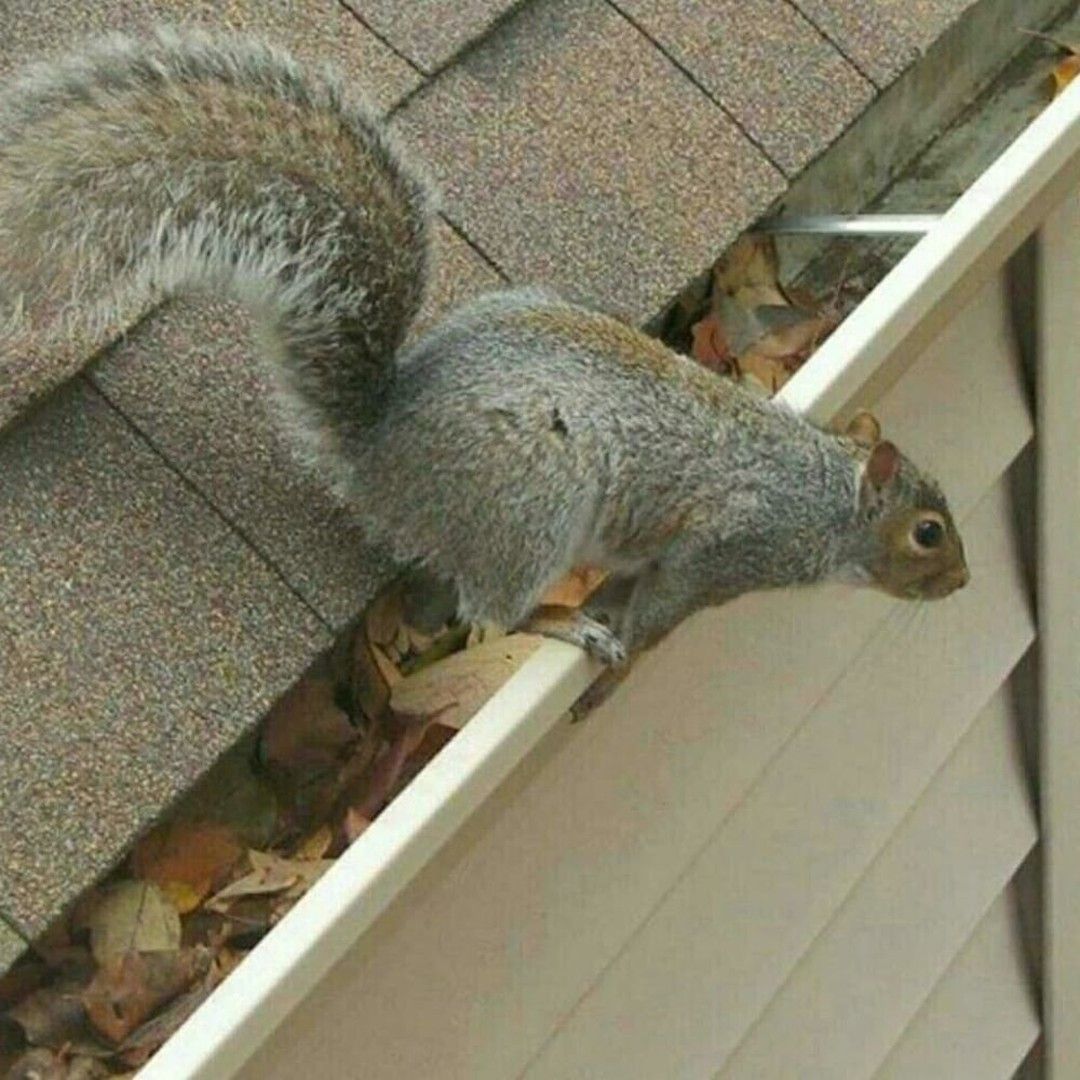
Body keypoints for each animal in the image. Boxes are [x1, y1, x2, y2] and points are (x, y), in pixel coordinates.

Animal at [0, 28, 969, 665]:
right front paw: (629, 636)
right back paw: (563, 622)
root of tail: (380, 452)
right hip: (529, 502)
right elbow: (664, 601)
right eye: (927, 533)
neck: (822, 496)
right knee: (490, 615)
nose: (962, 583)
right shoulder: (729, 545)